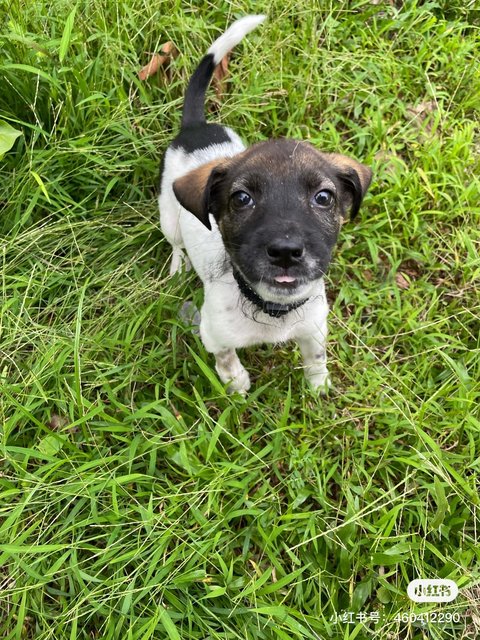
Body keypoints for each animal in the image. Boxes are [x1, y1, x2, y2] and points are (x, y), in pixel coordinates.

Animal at [159, 15, 374, 392]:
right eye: (241, 199)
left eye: (324, 197)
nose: (286, 252)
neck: (274, 310)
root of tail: (196, 128)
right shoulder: (214, 334)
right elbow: (226, 359)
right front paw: (236, 385)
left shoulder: (314, 328)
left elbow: (316, 358)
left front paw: (318, 386)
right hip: (169, 217)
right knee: (175, 244)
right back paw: (177, 266)